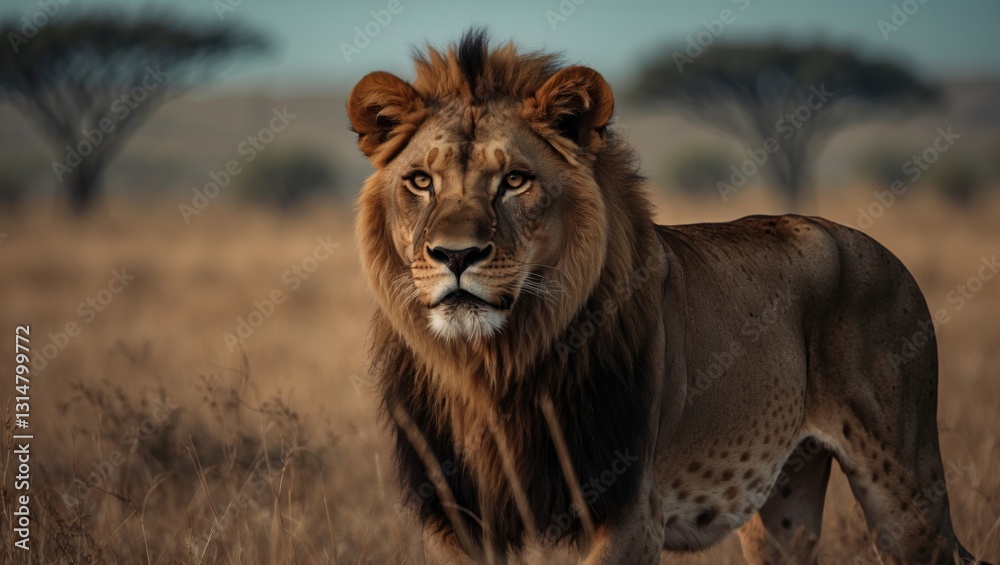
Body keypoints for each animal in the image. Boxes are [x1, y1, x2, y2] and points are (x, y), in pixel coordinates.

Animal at [348, 29, 987, 564]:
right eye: (421, 182)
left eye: (515, 181)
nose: (455, 256)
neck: (493, 365)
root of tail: (880, 249)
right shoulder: (454, 516)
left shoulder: (629, 512)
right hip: (782, 503)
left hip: (905, 491)